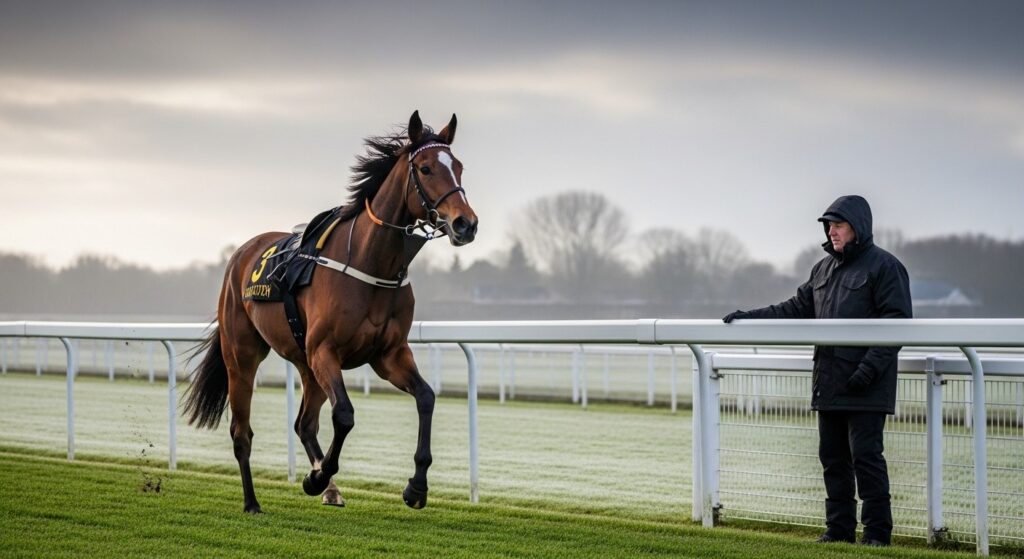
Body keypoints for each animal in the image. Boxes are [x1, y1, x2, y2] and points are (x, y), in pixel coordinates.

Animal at [182, 111, 478, 513]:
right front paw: (316, 477)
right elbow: (345, 415)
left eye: (459, 167)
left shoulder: (388, 355)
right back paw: (254, 501)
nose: (466, 223)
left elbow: (426, 397)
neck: (372, 262)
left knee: (304, 423)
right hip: (242, 355)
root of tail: (241, 254)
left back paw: (329, 486)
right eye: (426, 168)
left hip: (305, 363)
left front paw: (416, 486)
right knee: (241, 432)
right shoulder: (325, 351)